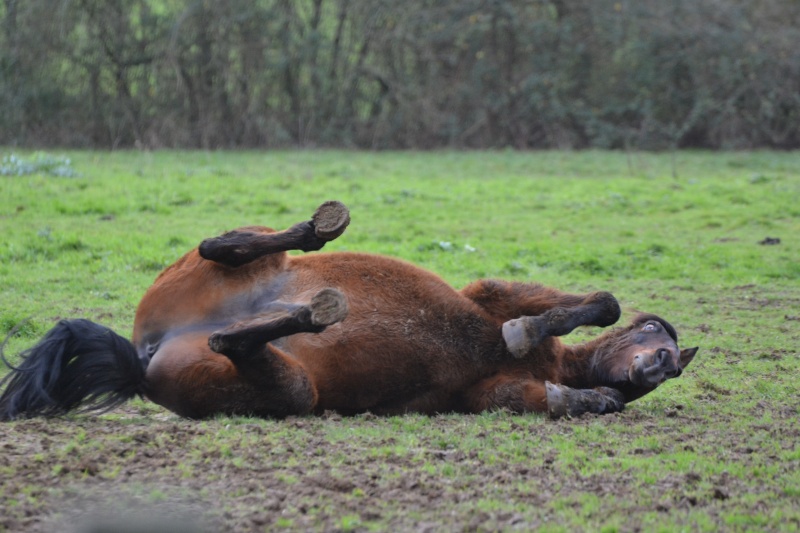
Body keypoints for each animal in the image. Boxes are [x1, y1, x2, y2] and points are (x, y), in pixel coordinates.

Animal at [0, 201, 700, 420]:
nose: (660, 365)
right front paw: (527, 331)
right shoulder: (492, 294)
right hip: (227, 274)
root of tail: (143, 350)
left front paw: (593, 400)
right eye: (654, 334)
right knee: (223, 246)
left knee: (234, 342)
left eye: (676, 362)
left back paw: (313, 312)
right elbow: (592, 305)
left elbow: (551, 399)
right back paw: (318, 233)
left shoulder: (488, 394)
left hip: (287, 389)